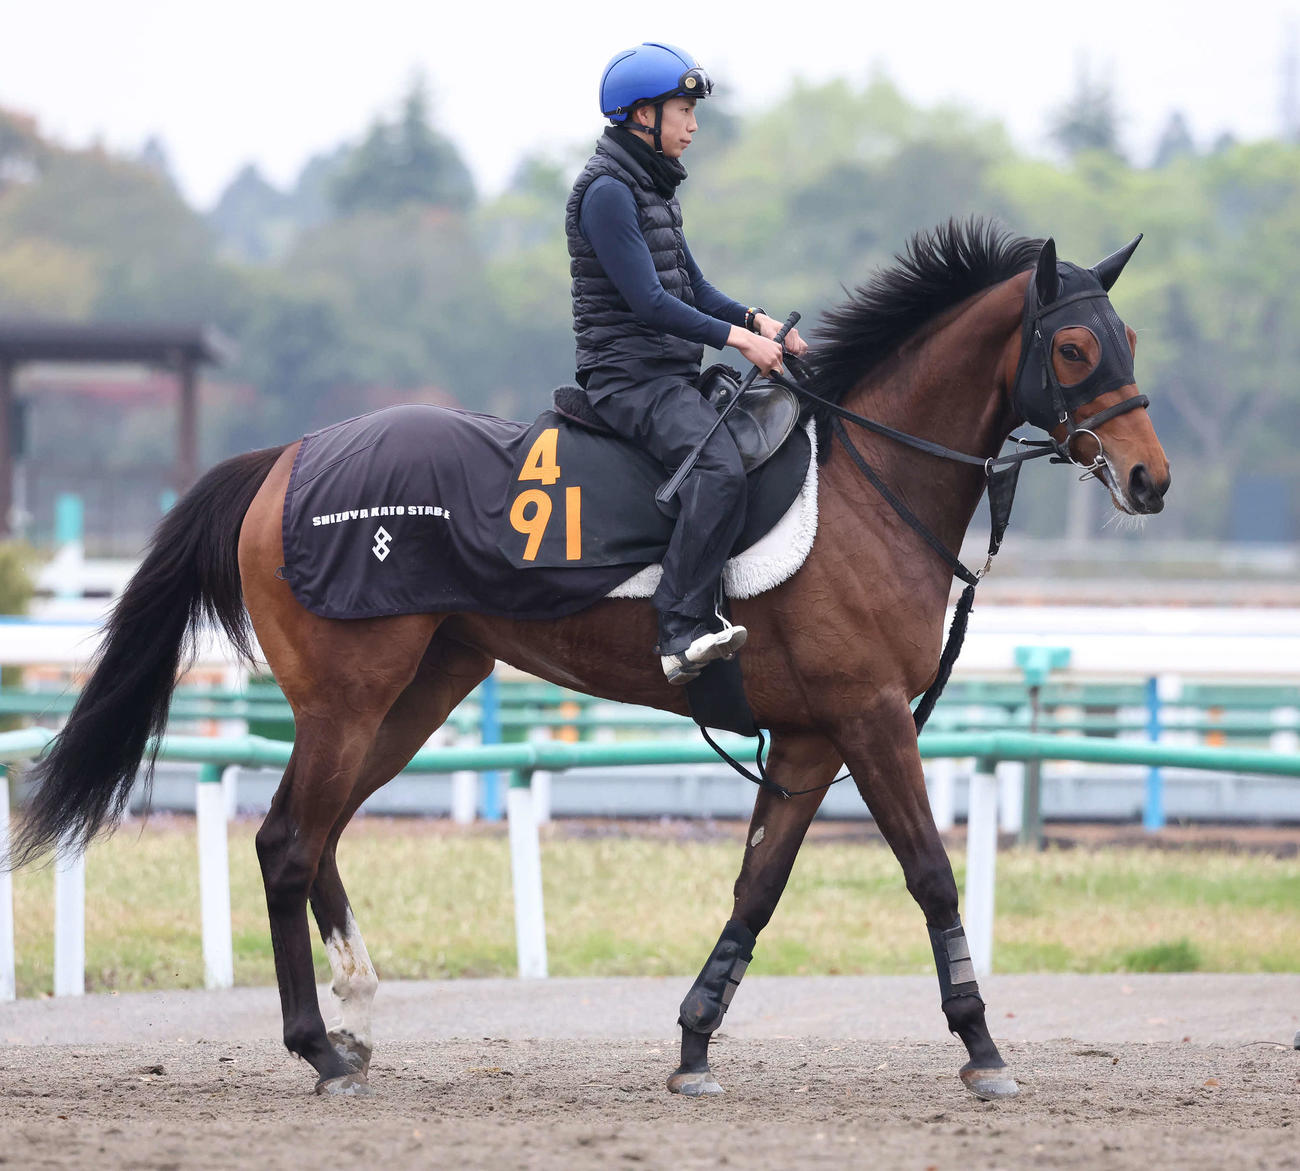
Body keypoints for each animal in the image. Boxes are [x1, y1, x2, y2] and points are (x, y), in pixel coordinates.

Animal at [9, 220, 1170, 1101]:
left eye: (1128, 336)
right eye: (1073, 349)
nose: (1150, 480)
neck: (868, 479)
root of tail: (284, 456)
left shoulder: (806, 737)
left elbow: (757, 889)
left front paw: (695, 1042)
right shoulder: (869, 713)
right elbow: (929, 871)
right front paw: (982, 1045)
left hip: (419, 690)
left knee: (315, 834)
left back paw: (358, 1011)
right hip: (350, 695)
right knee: (289, 840)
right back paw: (320, 1048)